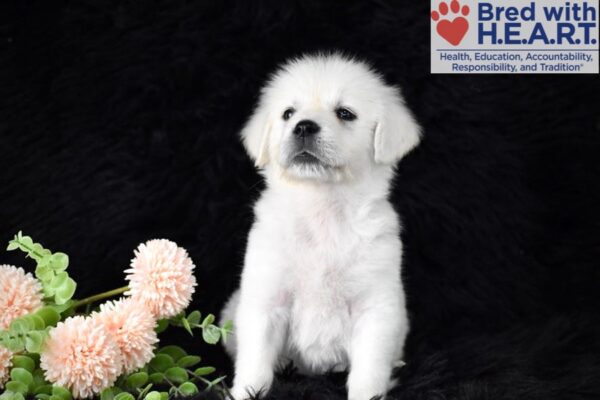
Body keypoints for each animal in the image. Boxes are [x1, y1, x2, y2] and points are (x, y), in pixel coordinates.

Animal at [221, 53, 422, 400]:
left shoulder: (375, 309)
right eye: (288, 113)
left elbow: (369, 369)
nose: (303, 126)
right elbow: (255, 361)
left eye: (345, 113)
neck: (322, 208)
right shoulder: (266, 301)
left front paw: (369, 394)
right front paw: (246, 392)